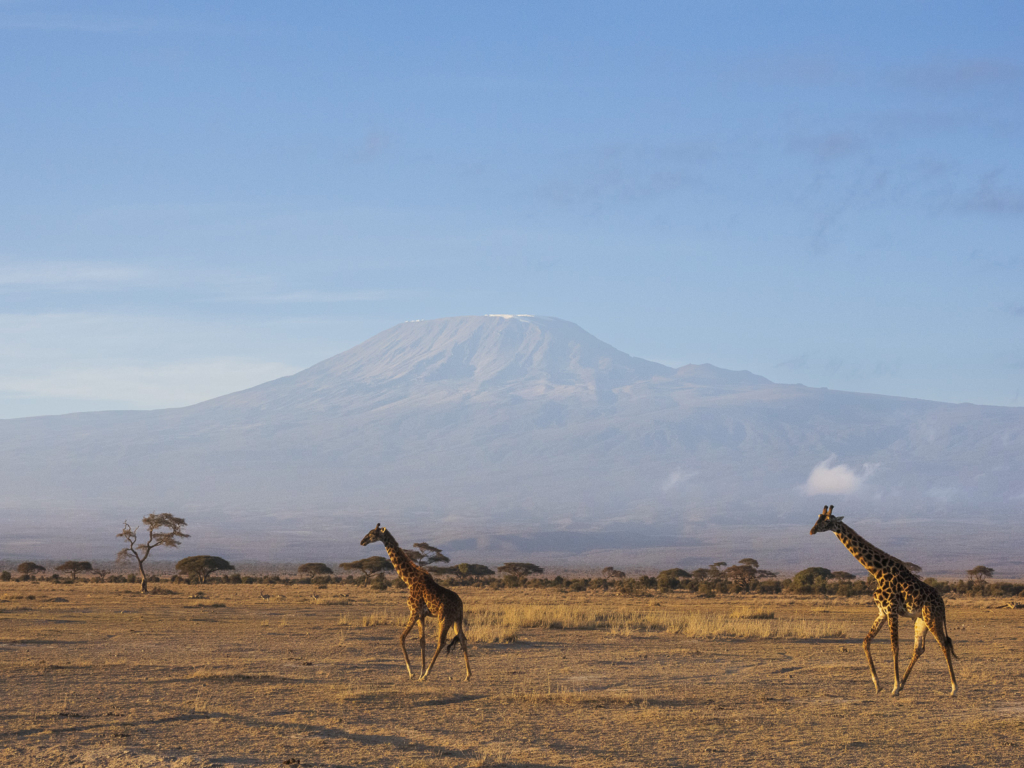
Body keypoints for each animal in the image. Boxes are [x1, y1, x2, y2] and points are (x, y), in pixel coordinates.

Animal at [360, 528, 471, 684]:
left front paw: (412, 672)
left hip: (444, 618)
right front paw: (420, 672)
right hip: (457, 619)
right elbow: (422, 641)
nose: (362, 541)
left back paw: (427, 675)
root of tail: (460, 604)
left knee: (441, 642)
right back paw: (468, 675)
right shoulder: (421, 615)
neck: (409, 580)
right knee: (462, 639)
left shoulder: (414, 612)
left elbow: (402, 637)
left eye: (372, 533)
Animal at [806, 505, 958, 696]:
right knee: (919, 648)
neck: (877, 571)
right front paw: (879, 685)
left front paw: (893, 687)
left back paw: (953, 688)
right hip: (920, 619)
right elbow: (865, 642)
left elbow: (895, 647)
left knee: (944, 644)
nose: (812, 531)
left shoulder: (892, 610)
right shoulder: (882, 612)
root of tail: (942, 603)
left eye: (827, 521)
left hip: (932, 617)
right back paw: (904, 684)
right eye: (817, 518)